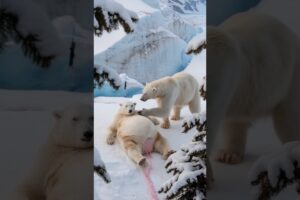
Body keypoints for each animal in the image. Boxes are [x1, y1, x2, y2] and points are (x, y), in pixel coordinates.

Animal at [205, 10, 300, 164]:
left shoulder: (220, 72)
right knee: (234, 121)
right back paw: (229, 154)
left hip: (288, 76)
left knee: (288, 120)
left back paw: (291, 149)